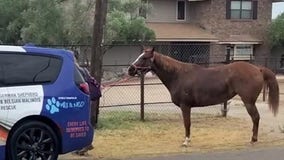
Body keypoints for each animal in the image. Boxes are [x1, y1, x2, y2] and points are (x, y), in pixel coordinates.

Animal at [129, 46, 280, 146]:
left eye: (144, 58)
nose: (130, 70)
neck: (178, 75)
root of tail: (258, 69)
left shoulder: (185, 106)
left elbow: (187, 123)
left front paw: (186, 141)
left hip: (249, 102)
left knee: (256, 118)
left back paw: (253, 139)